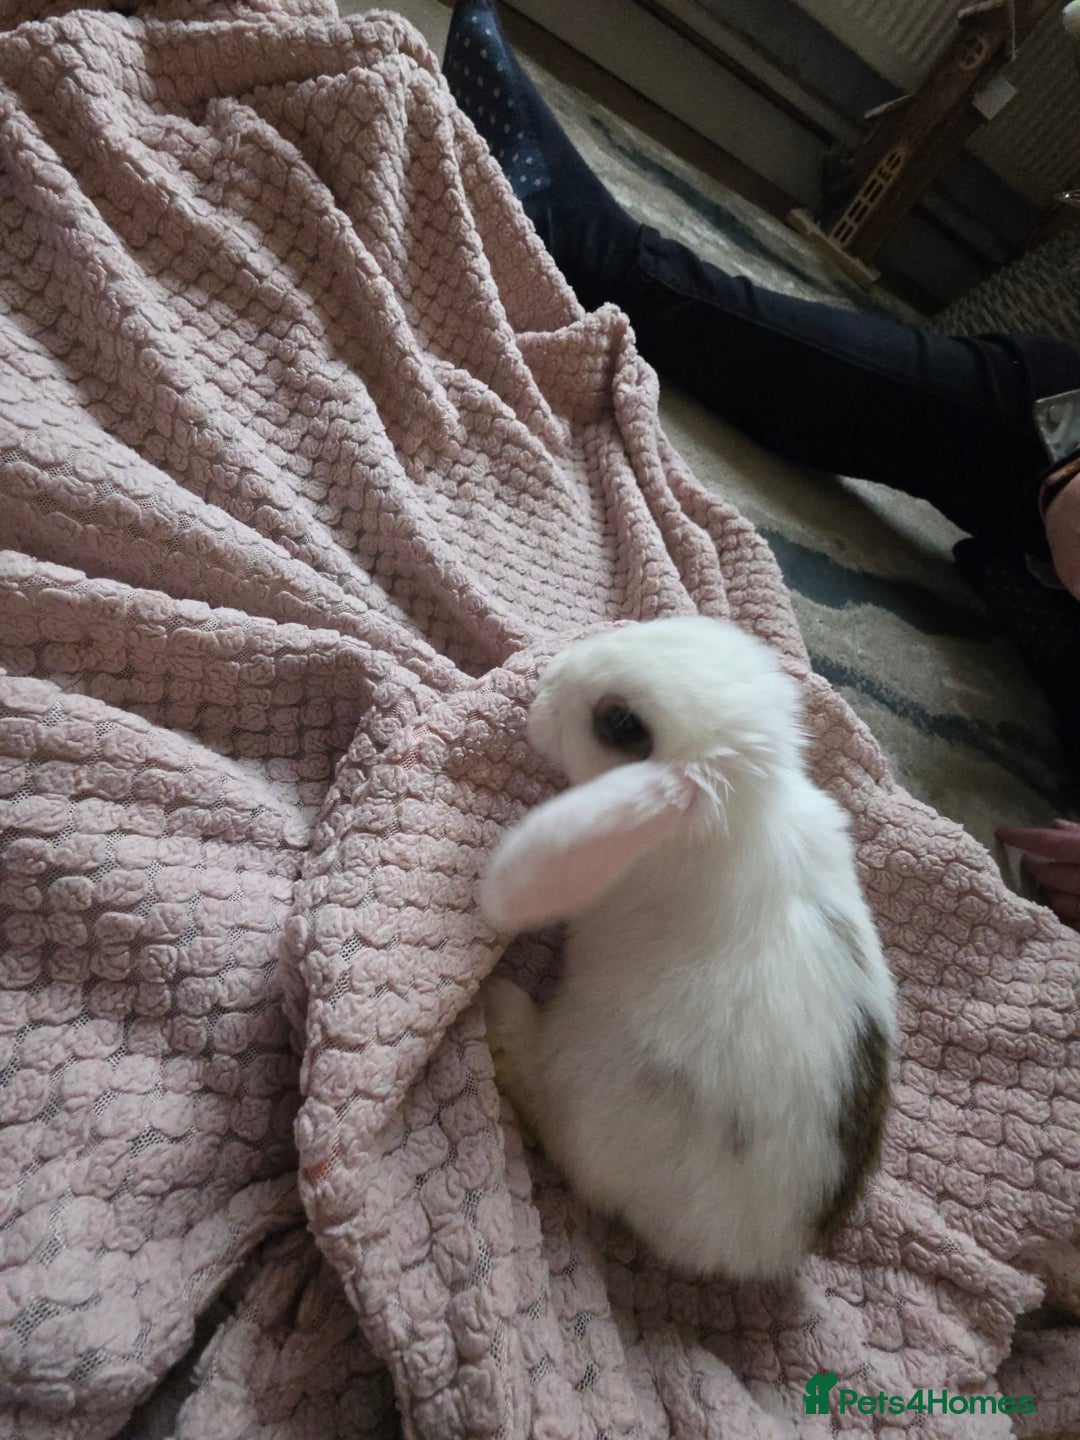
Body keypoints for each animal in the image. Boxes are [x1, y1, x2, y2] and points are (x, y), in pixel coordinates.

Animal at [478, 615, 896, 1279]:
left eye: (621, 724)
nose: (544, 683)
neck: (738, 822)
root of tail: (769, 1248)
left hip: (585, 1077)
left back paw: (504, 1014)